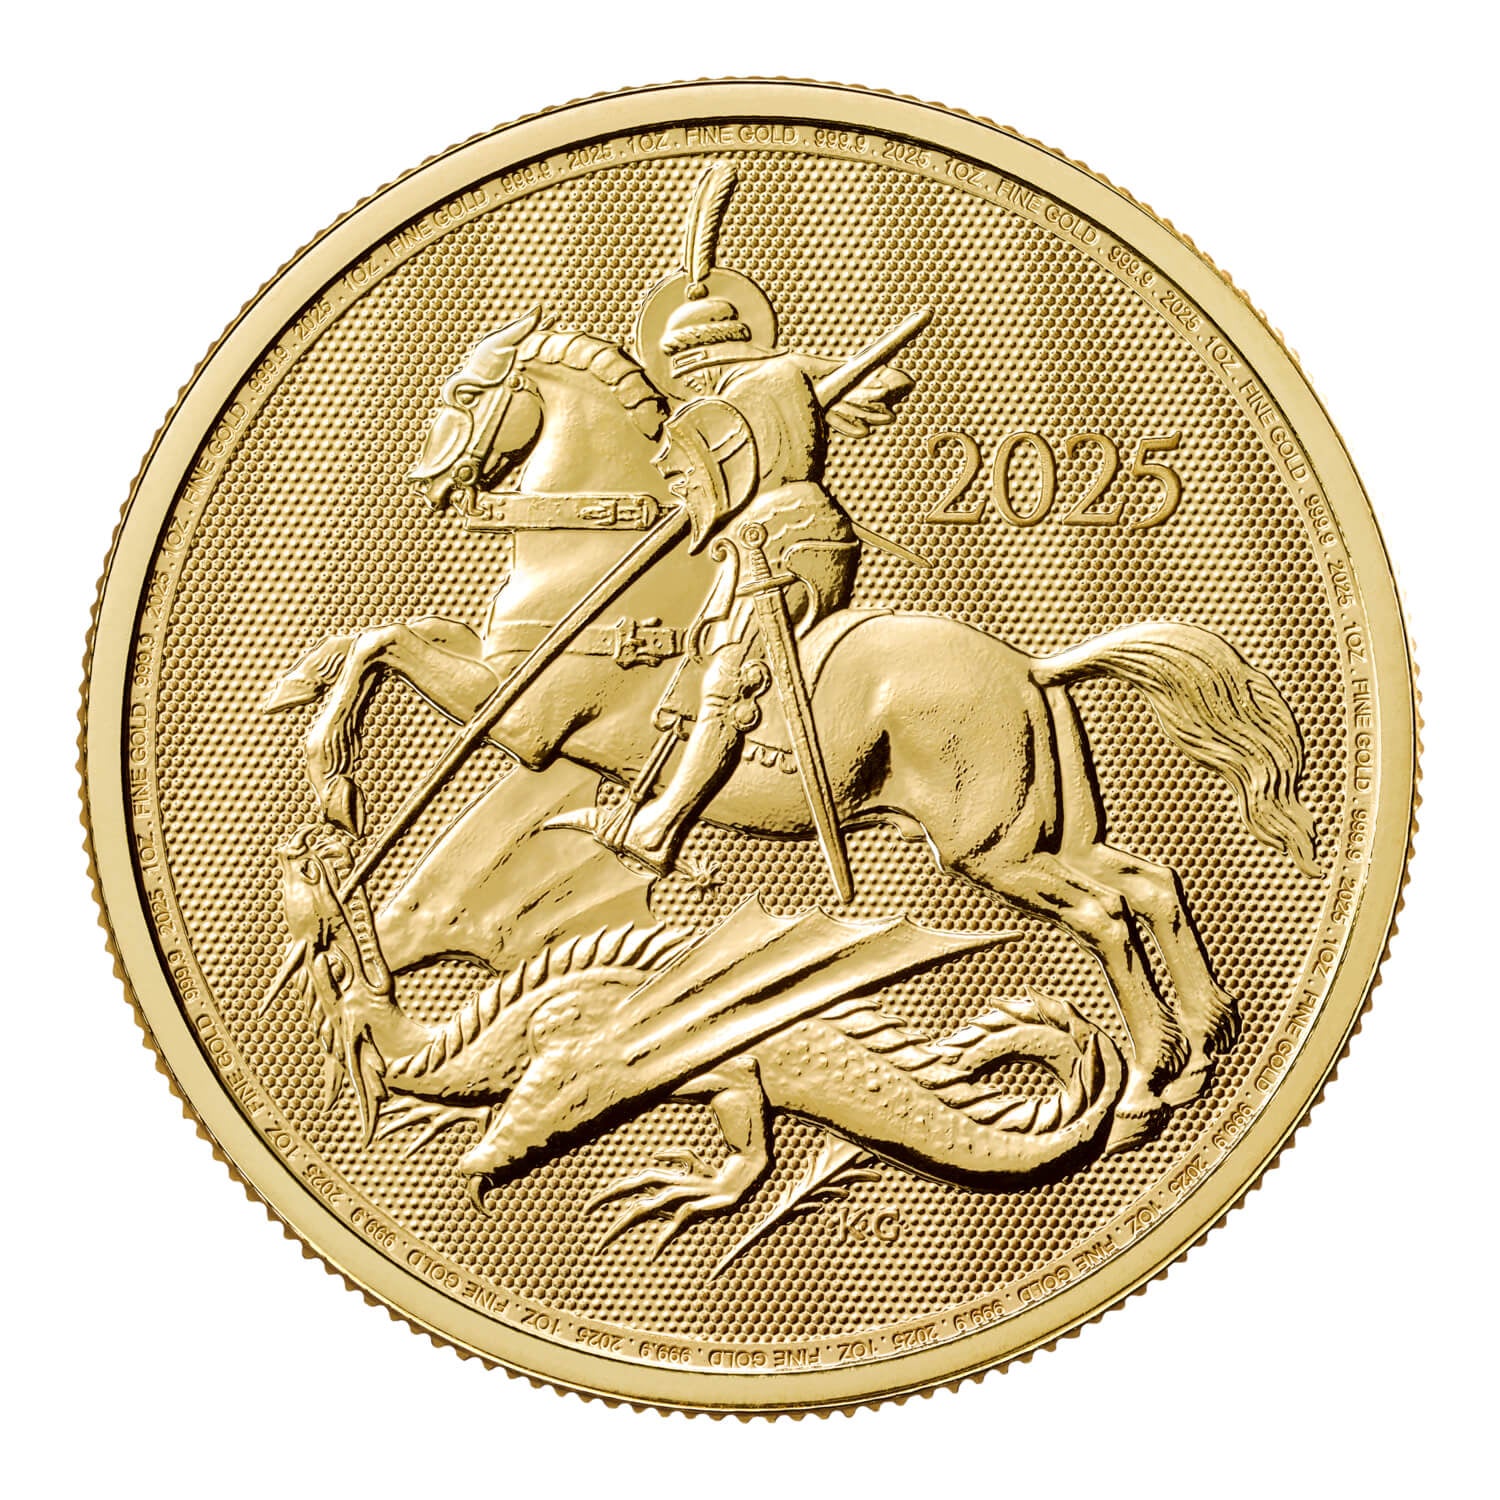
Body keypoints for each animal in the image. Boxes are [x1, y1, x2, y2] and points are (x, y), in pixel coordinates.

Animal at [265, 306, 1318, 1141]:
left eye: (467, 388)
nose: (430, 484)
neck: (597, 562)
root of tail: (1030, 667)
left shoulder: (517, 715)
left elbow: (385, 645)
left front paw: (332, 778)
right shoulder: (498, 683)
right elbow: (377, 638)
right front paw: (301, 712)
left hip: (988, 852)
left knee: (1103, 914)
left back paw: (1144, 1085)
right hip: (1041, 835)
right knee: (1149, 884)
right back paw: (1198, 1050)